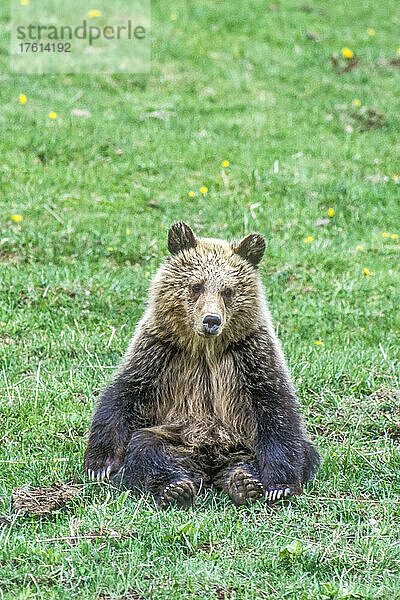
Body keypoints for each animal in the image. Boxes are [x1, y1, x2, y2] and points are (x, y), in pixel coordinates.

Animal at [83, 221, 318, 506]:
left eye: (227, 290)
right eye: (197, 286)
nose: (211, 320)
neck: (205, 349)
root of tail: (210, 462)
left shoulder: (251, 355)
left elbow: (276, 409)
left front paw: (280, 486)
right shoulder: (161, 352)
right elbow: (125, 394)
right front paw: (100, 465)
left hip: (243, 440)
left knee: (302, 450)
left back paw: (243, 483)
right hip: (176, 436)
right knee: (146, 447)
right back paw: (176, 488)